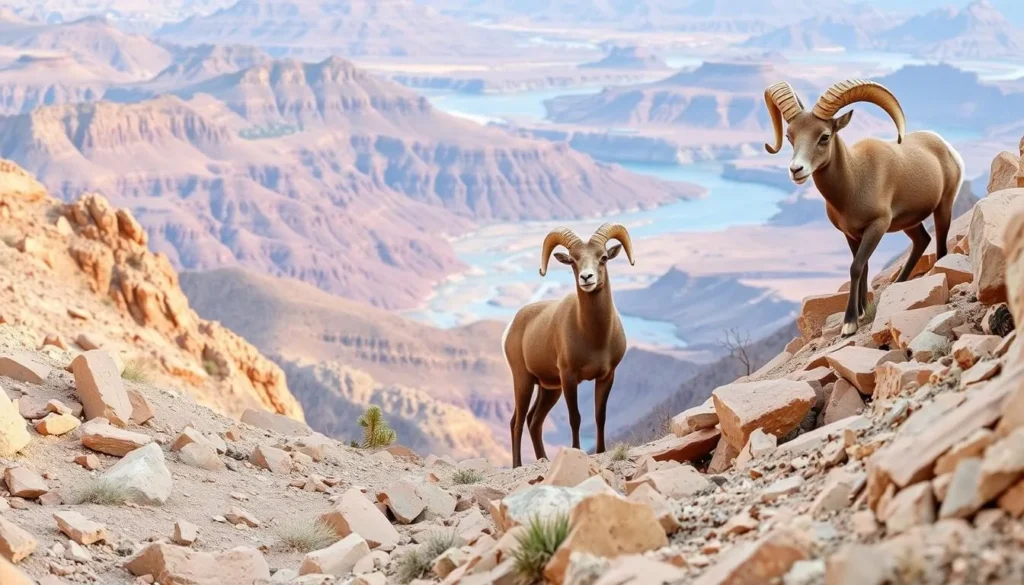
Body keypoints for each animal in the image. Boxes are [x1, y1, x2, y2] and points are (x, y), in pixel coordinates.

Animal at [501, 223, 634, 468]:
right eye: (573, 260)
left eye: (603, 257)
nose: (586, 277)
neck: (594, 338)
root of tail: (514, 323)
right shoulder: (569, 377)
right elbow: (575, 418)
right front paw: (576, 451)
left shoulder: (606, 376)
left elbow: (600, 416)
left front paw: (600, 451)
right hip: (524, 380)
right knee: (517, 421)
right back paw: (517, 465)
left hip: (549, 389)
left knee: (534, 421)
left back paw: (543, 458)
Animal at [764, 78, 964, 336]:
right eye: (790, 136)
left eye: (824, 136)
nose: (796, 170)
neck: (855, 181)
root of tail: (945, 146)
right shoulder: (851, 234)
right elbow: (864, 268)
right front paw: (861, 311)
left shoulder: (876, 227)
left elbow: (856, 267)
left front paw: (850, 323)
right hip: (909, 223)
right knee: (921, 240)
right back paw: (897, 283)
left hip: (943, 207)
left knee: (939, 246)